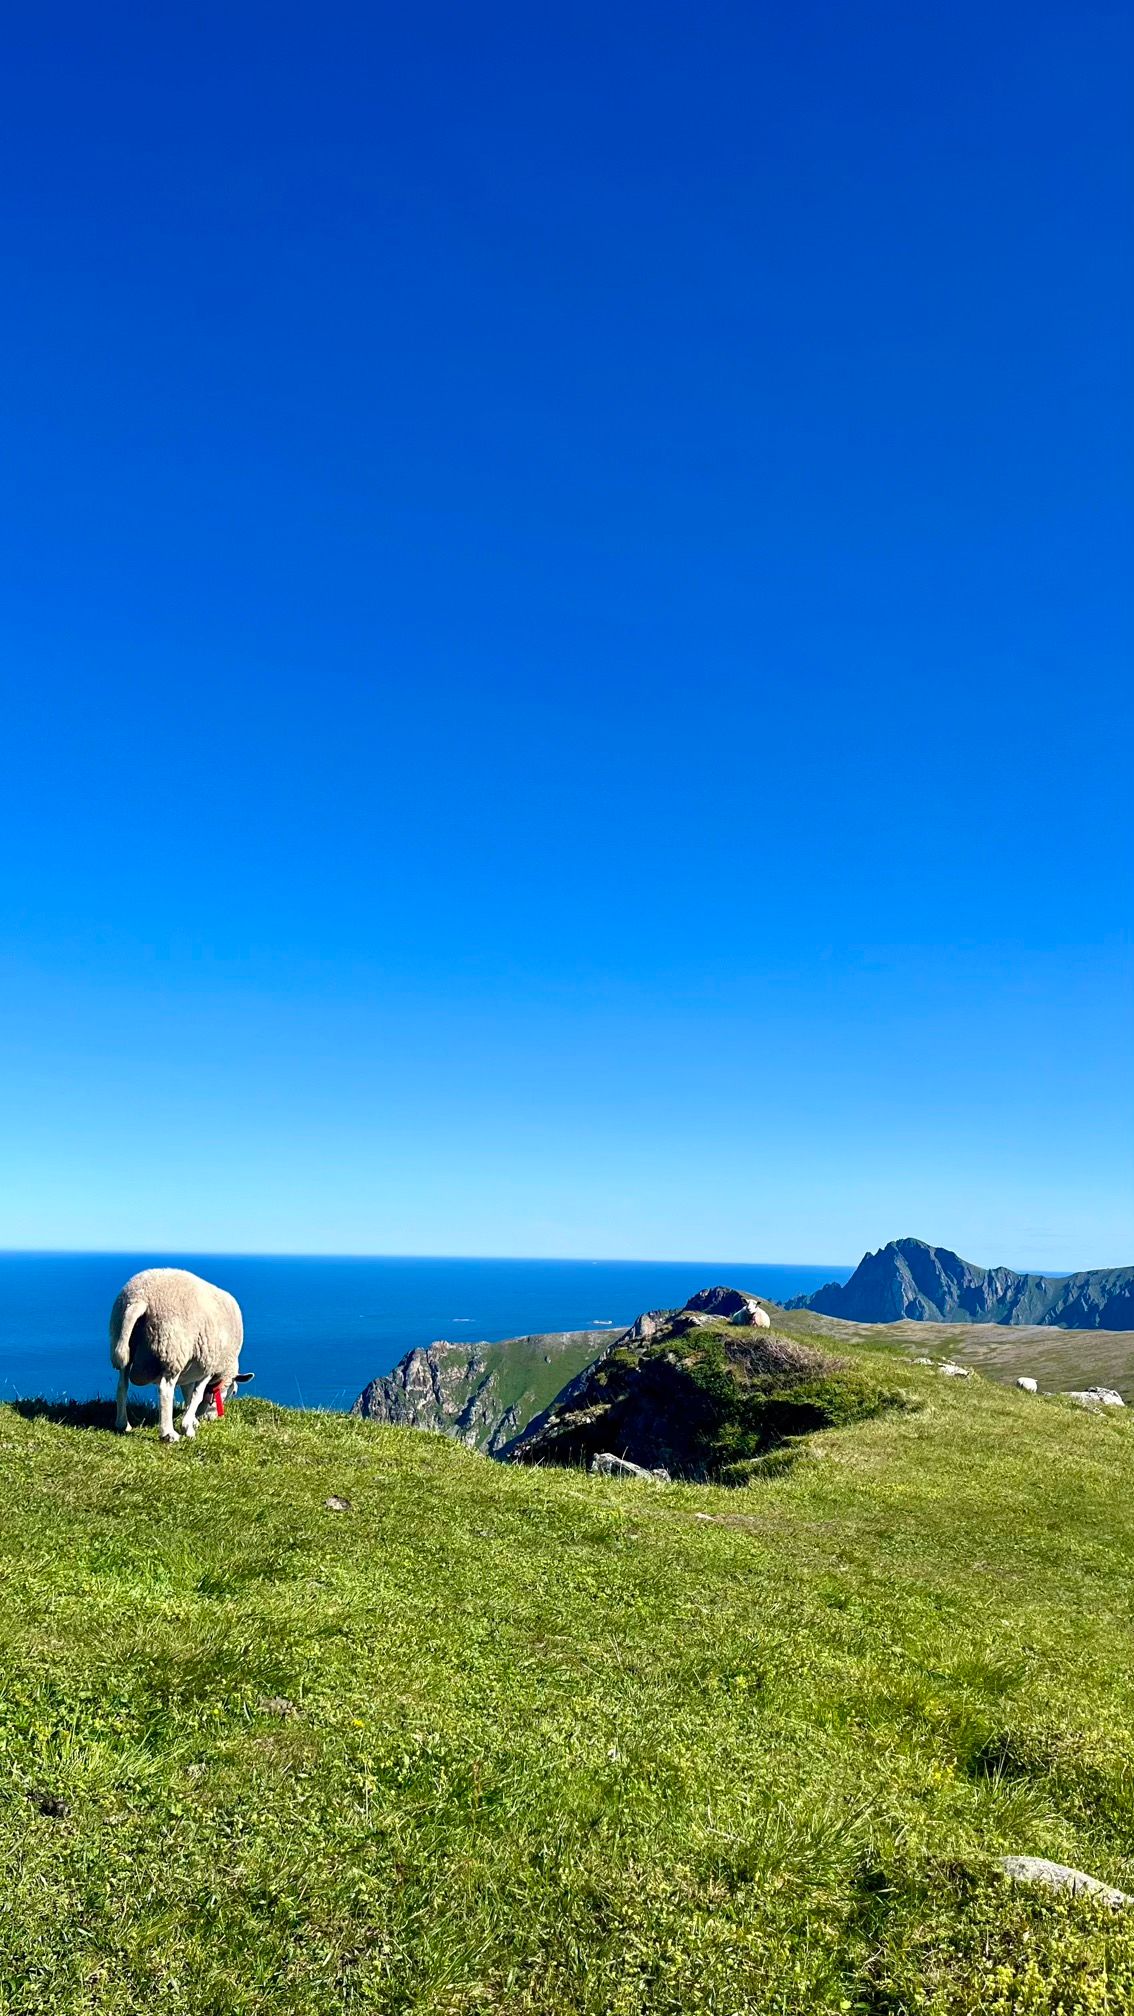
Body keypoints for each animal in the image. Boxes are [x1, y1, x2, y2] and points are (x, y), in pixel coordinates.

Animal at [108, 1266, 251, 1443]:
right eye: (234, 1391)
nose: (213, 1418)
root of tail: (140, 1298)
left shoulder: (192, 1368)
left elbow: (188, 1393)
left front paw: (193, 1420)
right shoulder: (208, 1366)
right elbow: (197, 1395)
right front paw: (187, 1427)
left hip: (122, 1338)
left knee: (122, 1384)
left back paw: (123, 1424)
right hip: (173, 1349)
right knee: (165, 1389)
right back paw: (168, 1433)